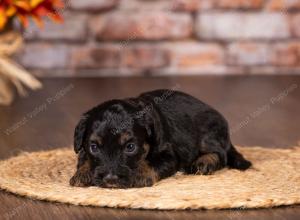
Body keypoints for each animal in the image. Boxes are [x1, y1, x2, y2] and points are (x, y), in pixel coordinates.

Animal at [70, 88, 251, 188]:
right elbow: (83, 157)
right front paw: (82, 174)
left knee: (221, 154)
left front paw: (141, 175)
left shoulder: (169, 154)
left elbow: (152, 163)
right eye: (94, 147)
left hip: (208, 134)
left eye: (130, 147)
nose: (110, 179)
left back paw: (204, 162)